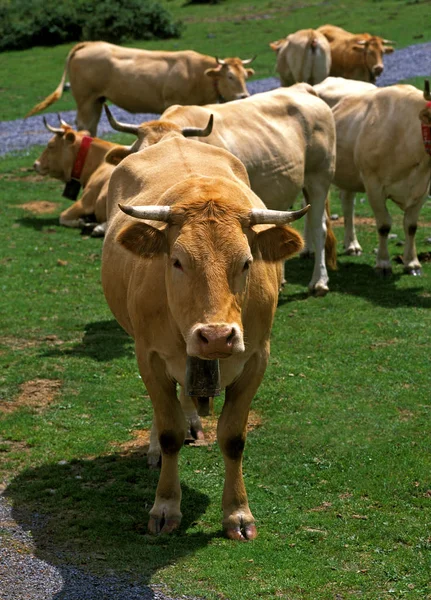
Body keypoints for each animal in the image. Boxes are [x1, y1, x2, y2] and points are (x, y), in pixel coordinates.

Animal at [25, 41, 255, 135]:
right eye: (230, 76)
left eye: (245, 76)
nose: (244, 96)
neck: (198, 75)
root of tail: (90, 43)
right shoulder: (172, 101)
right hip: (85, 99)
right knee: (84, 124)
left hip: (97, 100)